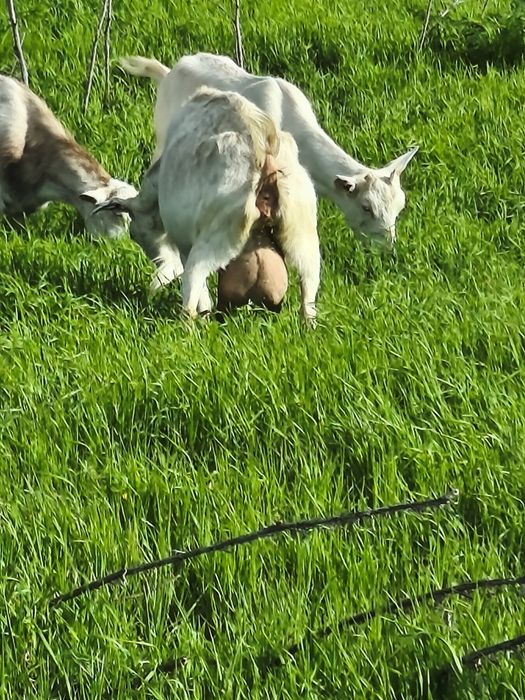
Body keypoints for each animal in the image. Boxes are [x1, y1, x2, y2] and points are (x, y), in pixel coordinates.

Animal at [93, 87, 320, 322]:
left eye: (135, 234)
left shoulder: (185, 246)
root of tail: (263, 151)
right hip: (304, 238)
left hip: (212, 242)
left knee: (191, 298)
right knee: (308, 301)